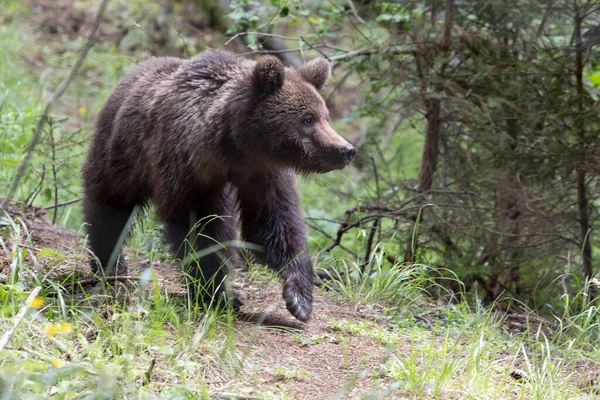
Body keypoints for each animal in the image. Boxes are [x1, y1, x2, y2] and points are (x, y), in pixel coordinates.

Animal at [83, 50, 356, 322]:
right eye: (308, 118)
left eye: (325, 116)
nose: (346, 150)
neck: (233, 147)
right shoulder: (188, 168)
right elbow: (201, 229)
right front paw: (218, 293)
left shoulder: (263, 173)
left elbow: (274, 222)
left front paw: (299, 296)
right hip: (123, 152)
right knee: (109, 206)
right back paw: (109, 265)